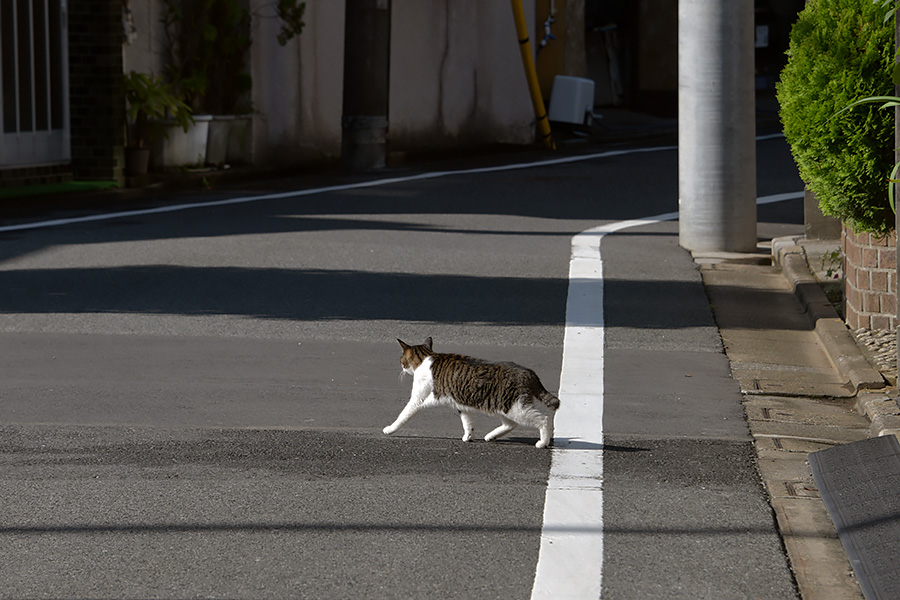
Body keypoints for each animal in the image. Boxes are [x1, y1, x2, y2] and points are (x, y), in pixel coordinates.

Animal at [384, 338, 560, 446]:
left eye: (401, 360)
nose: (401, 367)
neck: (426, 358)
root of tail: (528, 372)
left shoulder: (418, 399)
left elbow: (403, 415)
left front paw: (390, 429)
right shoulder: (461, 404)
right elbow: (467, 422)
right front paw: (468, 437)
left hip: (514, 406)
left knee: (543, 419)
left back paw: (543, 443)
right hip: (503, 406)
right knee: (511, 423)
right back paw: (491, 436)